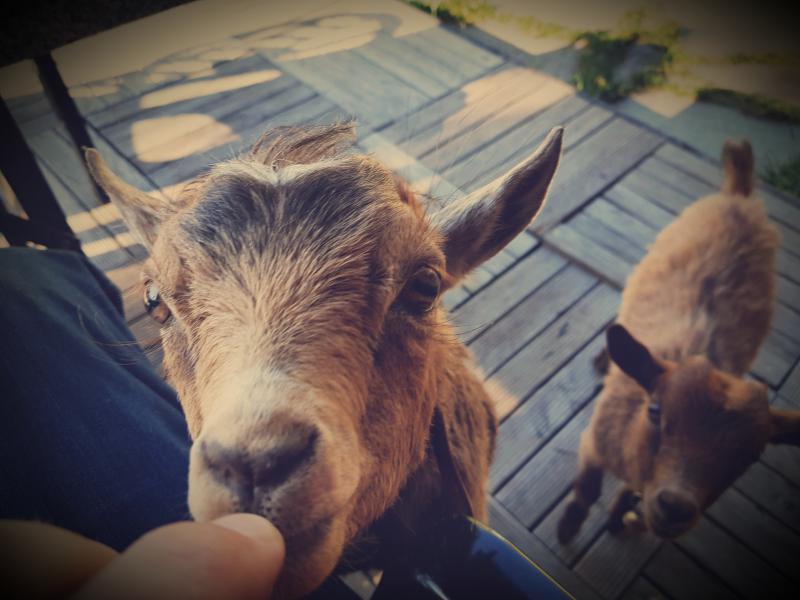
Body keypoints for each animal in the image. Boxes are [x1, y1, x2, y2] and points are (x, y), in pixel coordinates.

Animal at [556, 141, 800, 544]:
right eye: (655, 410)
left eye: (751, 457)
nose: (675, 506)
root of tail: (739, 195)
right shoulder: (593, 442)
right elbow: (587, 488)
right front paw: (569, 526)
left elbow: (624, 495)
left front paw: (617, 518)